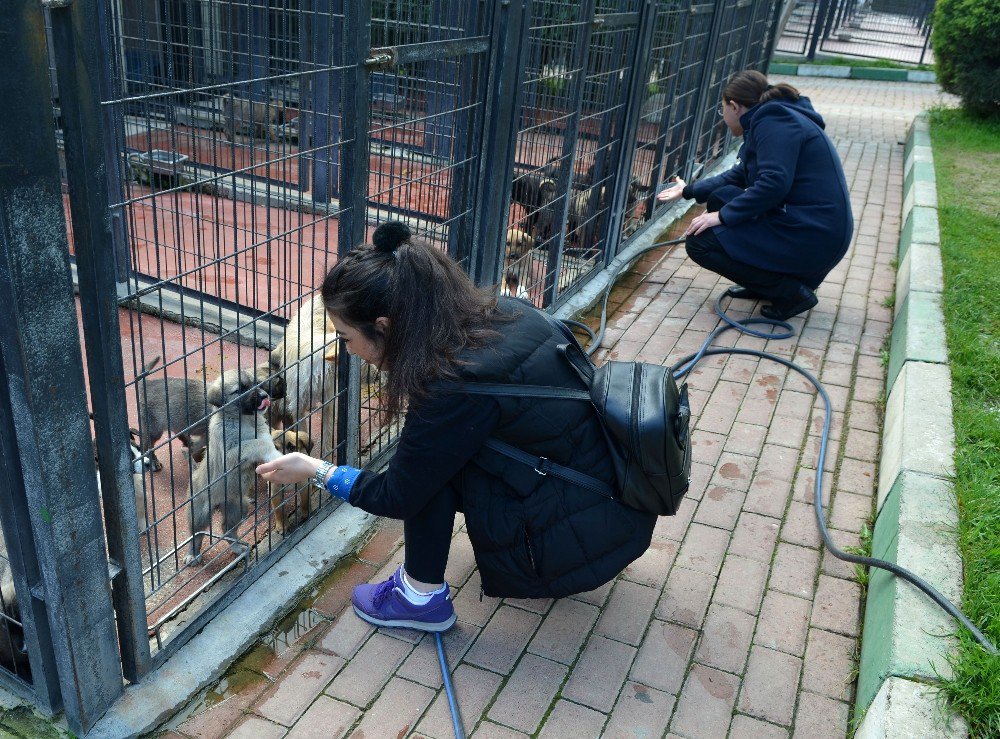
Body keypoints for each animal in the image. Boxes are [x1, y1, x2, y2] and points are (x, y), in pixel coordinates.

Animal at [186, 370, 282, 568]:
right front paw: (275, 454)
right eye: (239, 390)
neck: (243, 420)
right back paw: (192, 554)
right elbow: (257, 443)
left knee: (227, 530)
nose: (265, 396)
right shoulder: (230, 454)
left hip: (237, 507)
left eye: (256, 383)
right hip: (199, 511)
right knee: (196, 534)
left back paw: (237, 547)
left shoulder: (260, 431)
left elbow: (261, 440)